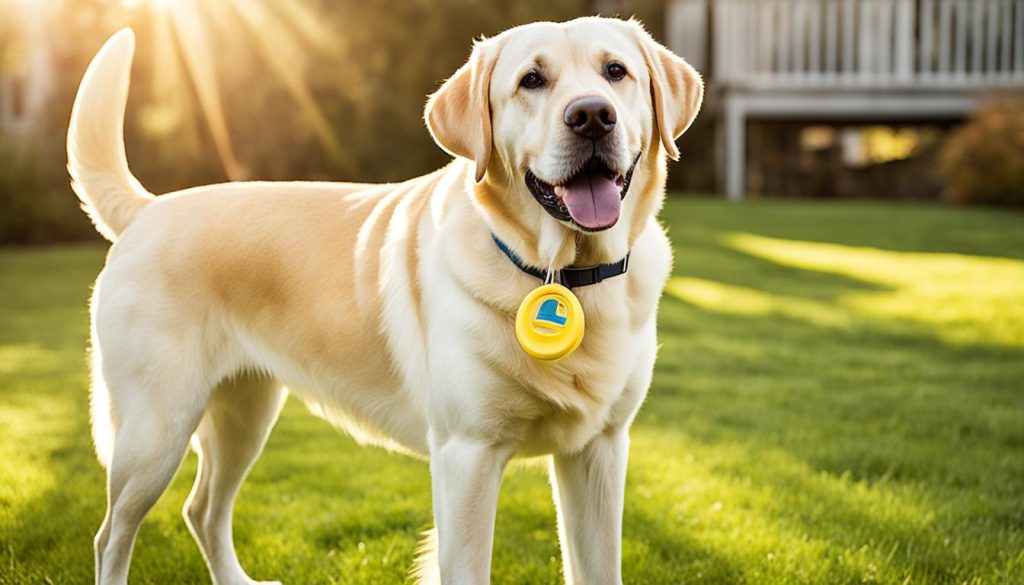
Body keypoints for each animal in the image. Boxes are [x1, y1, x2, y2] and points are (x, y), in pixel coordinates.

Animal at [68, 17, 700, 585]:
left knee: (202, 510)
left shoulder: (598, 452)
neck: (566, 275)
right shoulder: (467, 457)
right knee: (111, 536)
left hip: (244, 415)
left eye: (615, 71)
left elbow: (600, 569)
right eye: (531, 80)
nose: (592, 114)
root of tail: (149, 209)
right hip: (156, 432)